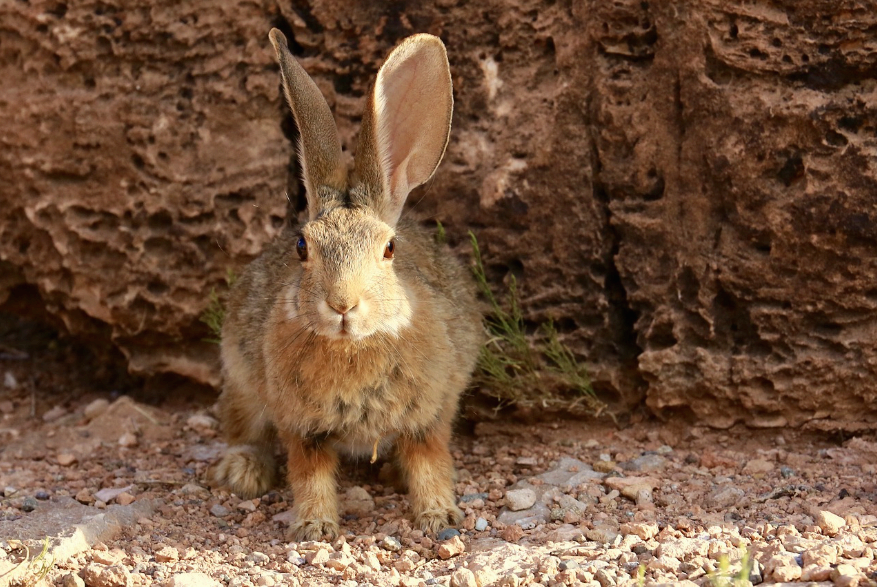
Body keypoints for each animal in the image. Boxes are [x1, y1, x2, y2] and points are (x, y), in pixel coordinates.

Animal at [210, 28, 482, 541]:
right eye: (302, 246)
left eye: (390, 248)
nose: (342, 305)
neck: (353, 346)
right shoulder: (302, 425)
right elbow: (309, 473)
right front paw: (314, 528)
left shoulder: (429, 414)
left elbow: (430, 464)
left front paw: (439, 517)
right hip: (241, 380)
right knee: (243, 429)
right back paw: (243, 472)